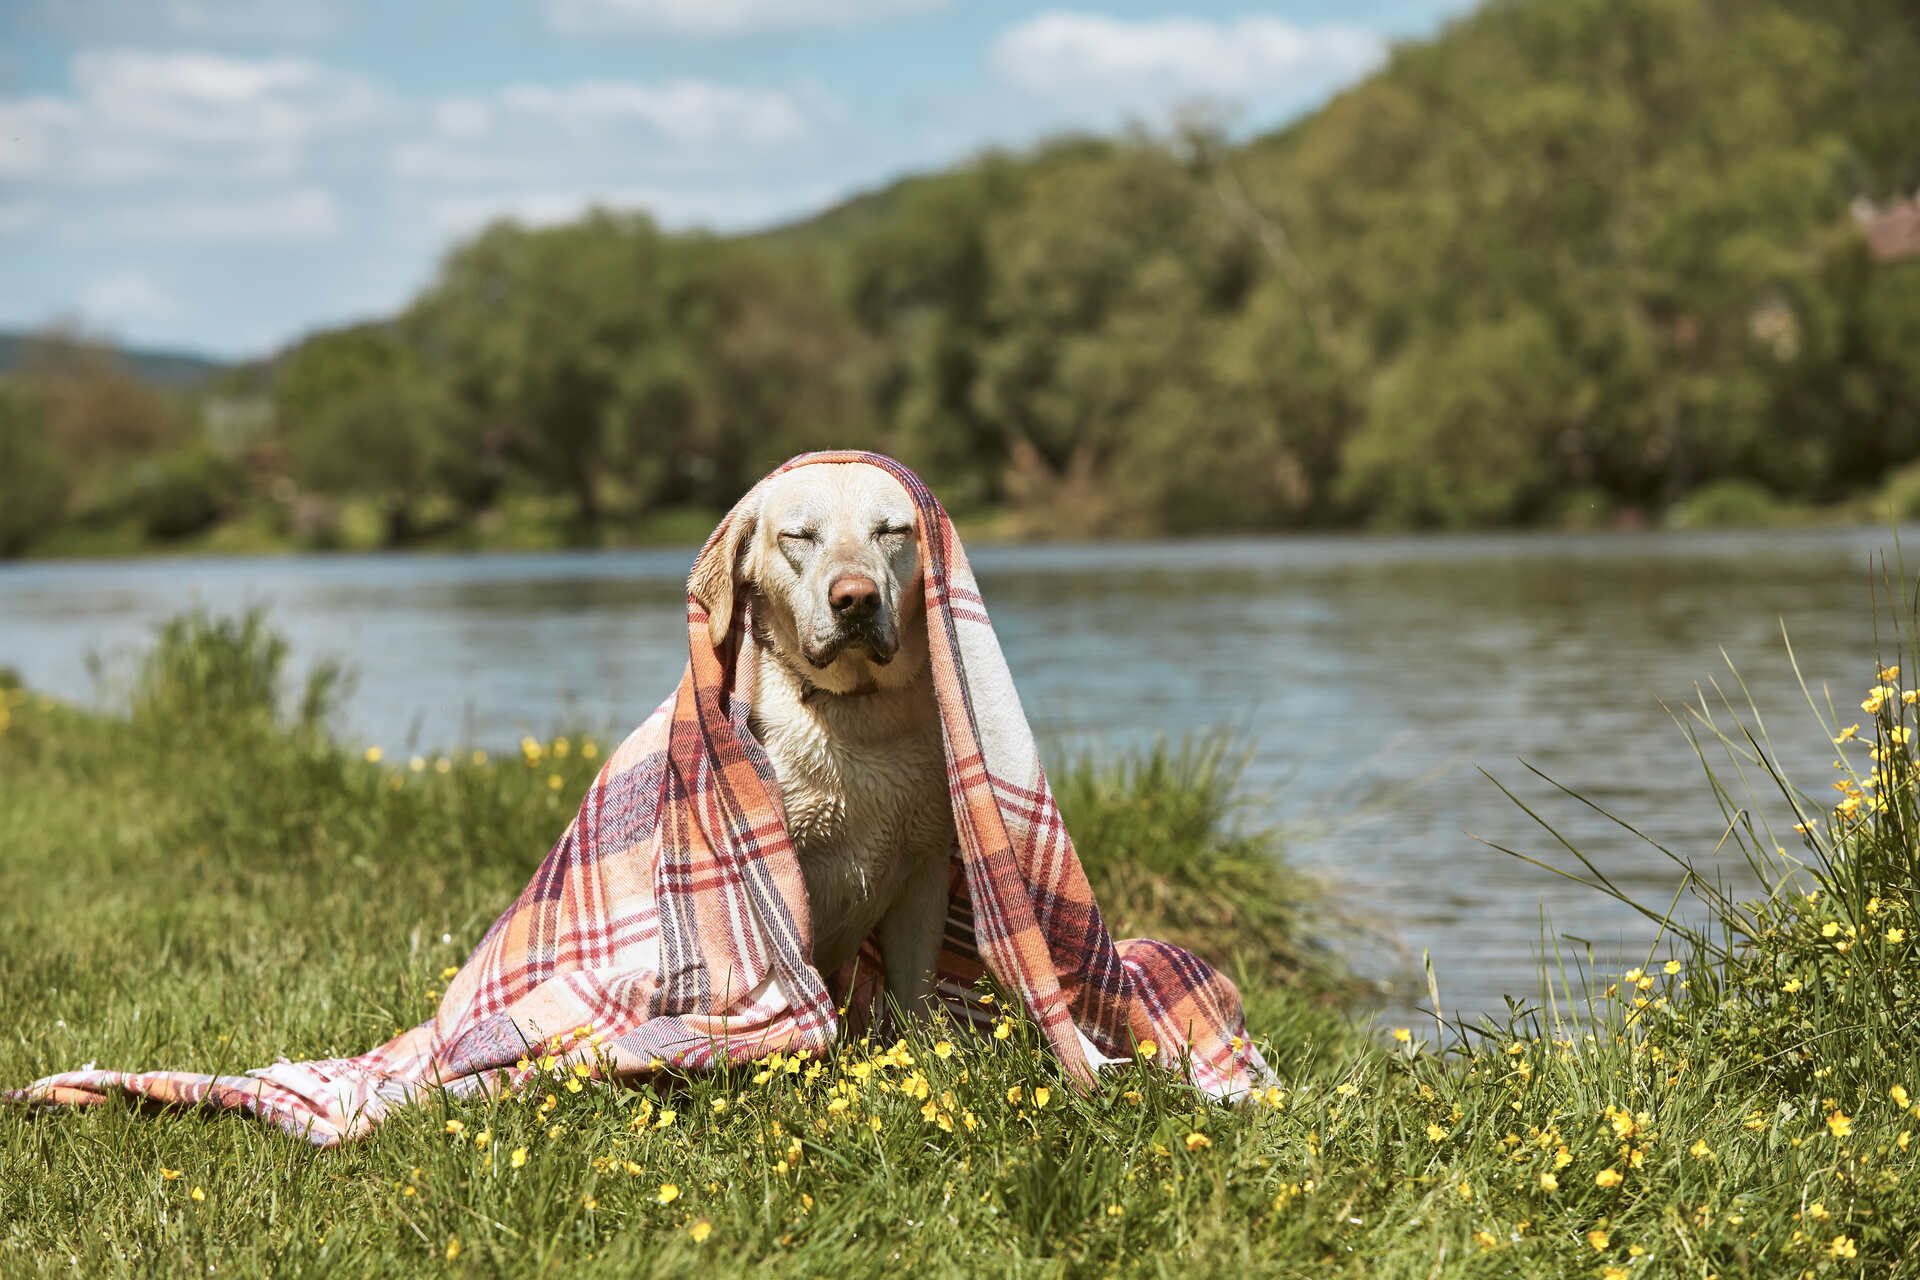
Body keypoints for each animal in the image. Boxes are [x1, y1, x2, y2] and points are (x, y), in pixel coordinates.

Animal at [695, 462, 956, 1020]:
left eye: (892, 531)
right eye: (798, 536)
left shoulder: (924, 871)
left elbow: (918, 999)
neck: (856, 710)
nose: (855, 599)